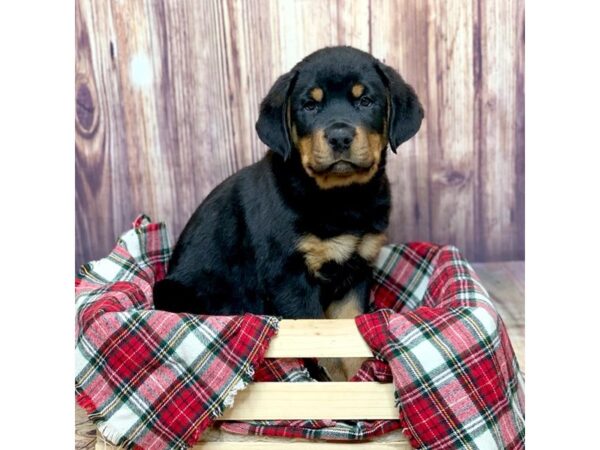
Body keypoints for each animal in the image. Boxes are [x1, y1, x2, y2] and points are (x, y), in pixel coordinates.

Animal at [152, 45, 424, 378]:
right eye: (309, 105)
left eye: (365, 101)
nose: (340, 136)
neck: (341, 198)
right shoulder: (289, 275)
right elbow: (321, 346)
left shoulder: (356, 271)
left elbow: (347, 340)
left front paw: (358, 379)